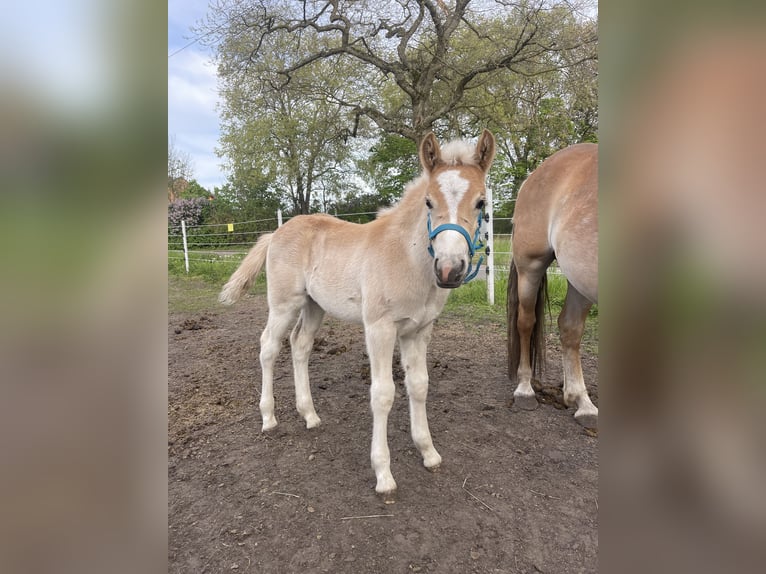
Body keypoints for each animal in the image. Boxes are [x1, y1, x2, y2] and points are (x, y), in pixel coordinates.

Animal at [222, 130, 498, 496]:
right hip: (284, 304)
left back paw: (309, 415)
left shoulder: (419, 330)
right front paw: (383, 474)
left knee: (300, 346)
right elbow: (383, 394)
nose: (449, 269)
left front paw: (428, 452)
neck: (408, 259)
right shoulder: (379, 328)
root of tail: (277, 232)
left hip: (314, 305)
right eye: (428, 202)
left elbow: (419, 385)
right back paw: (269, 418)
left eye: (481, 203)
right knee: (268, 346)